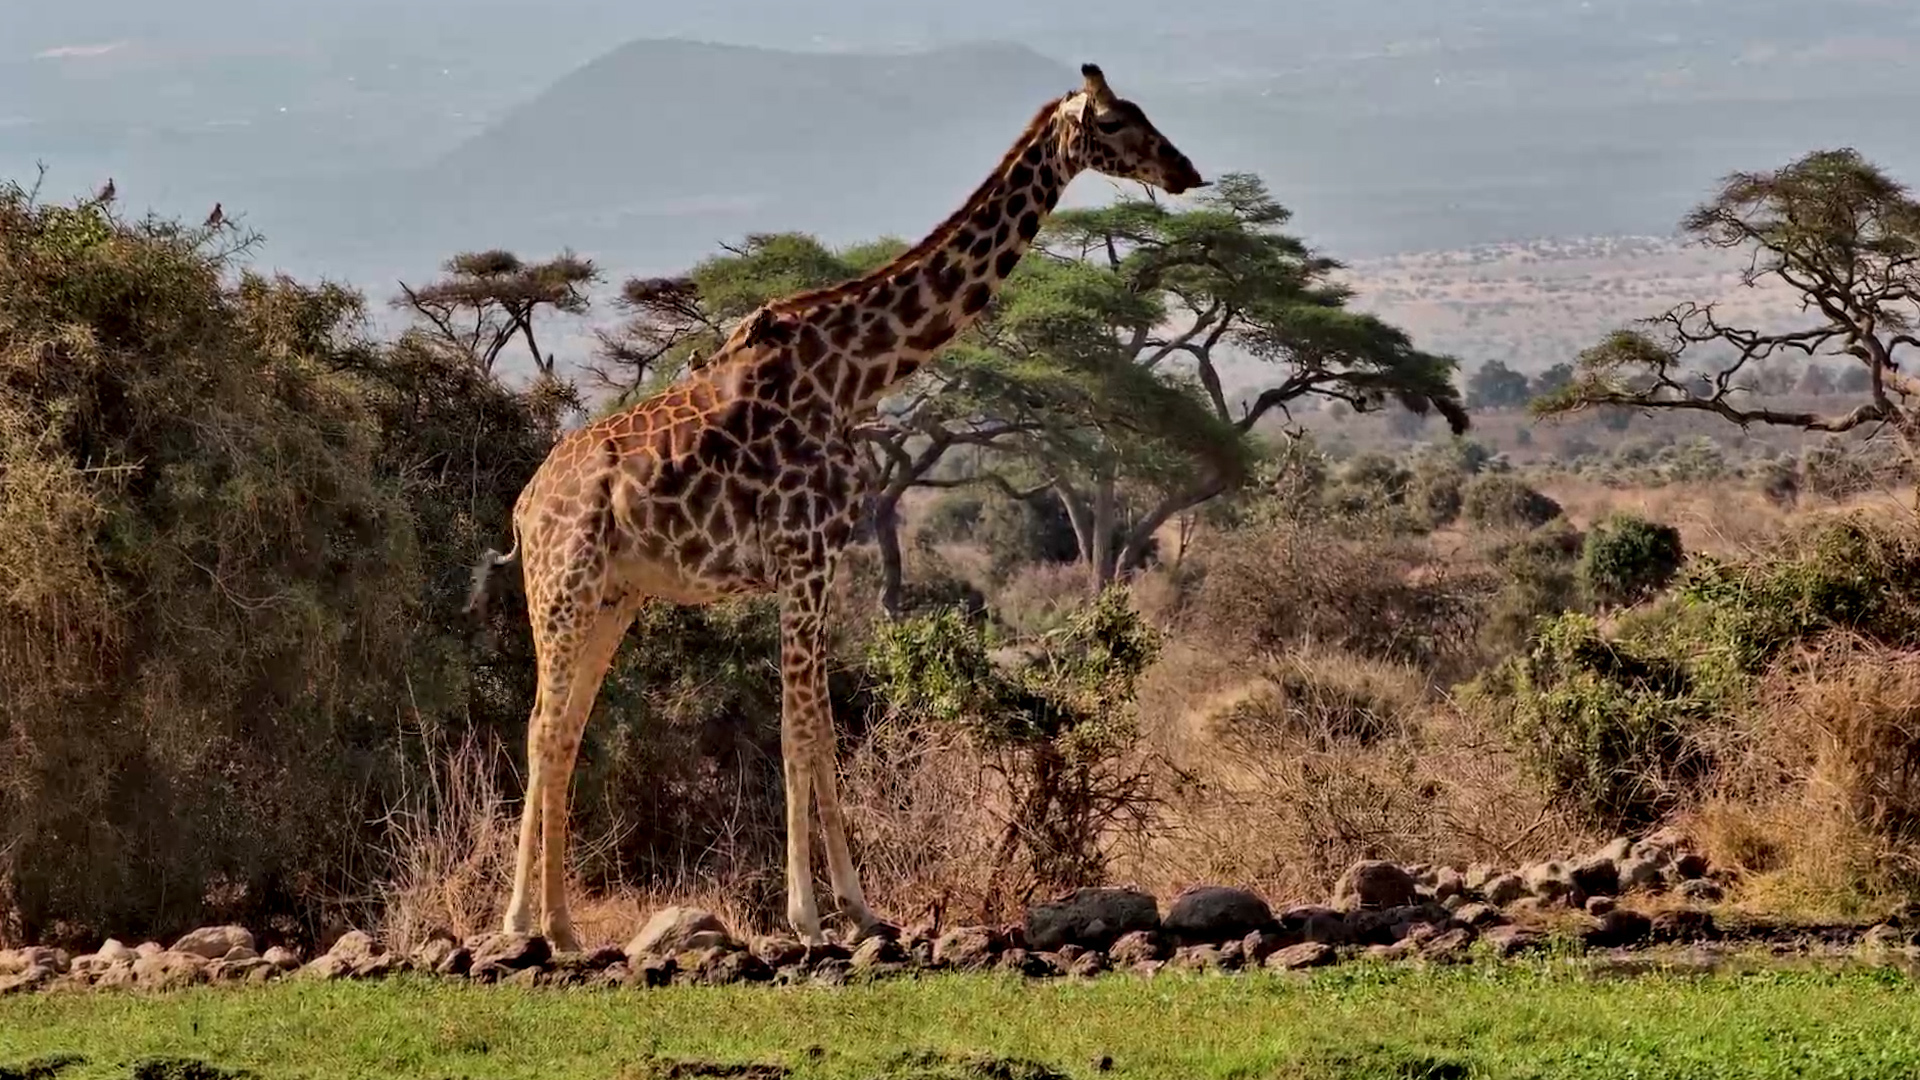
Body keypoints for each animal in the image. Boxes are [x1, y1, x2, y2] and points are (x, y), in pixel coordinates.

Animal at [465, 63, 1207, 950]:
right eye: (1121, 121)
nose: (1187, 171)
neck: (854, 372)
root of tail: (523, 506)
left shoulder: (818, 560)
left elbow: (820, 729)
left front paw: (859, 907)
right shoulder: (802, 555)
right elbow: (798, 729)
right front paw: (807, 916)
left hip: (617, 594)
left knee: (566, 724)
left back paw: (552, 923)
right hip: (563, 584)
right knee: (542, 725)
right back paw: (530, 923)